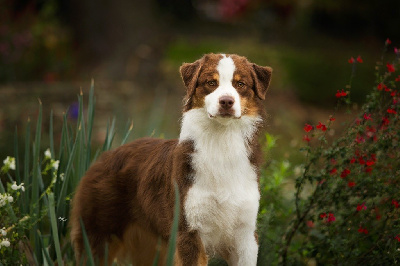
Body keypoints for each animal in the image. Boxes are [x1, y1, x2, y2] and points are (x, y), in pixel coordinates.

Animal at [70, 53, 274, 264]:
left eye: (240, 84)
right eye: (211, 83)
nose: (226, 101)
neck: (221, 143)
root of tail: (103, 157)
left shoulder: (245, 236)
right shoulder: (188, 231)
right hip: (97, 237)